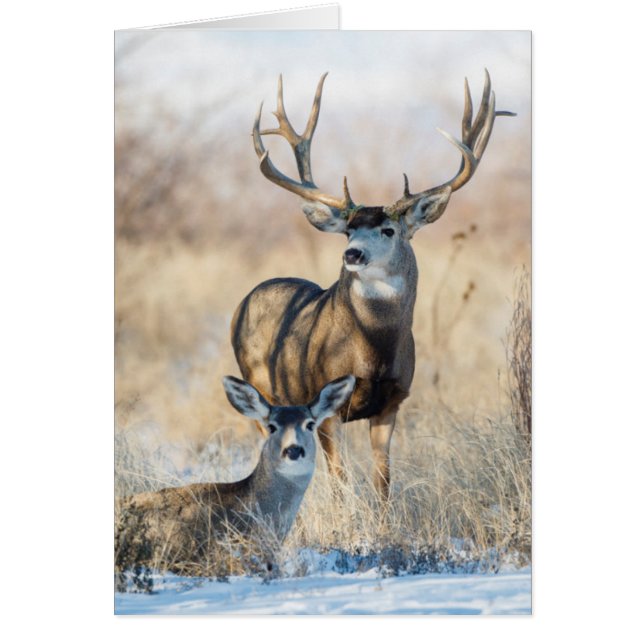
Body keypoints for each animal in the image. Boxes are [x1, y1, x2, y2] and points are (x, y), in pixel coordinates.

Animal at [231, 70, 514, 502]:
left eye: (388, 229)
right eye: (349, 229)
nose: (352, 254)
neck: (373, 351)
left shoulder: (392, 402)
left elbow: (383, 481)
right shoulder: (326, 404)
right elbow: (340, 481)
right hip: (260, 386)